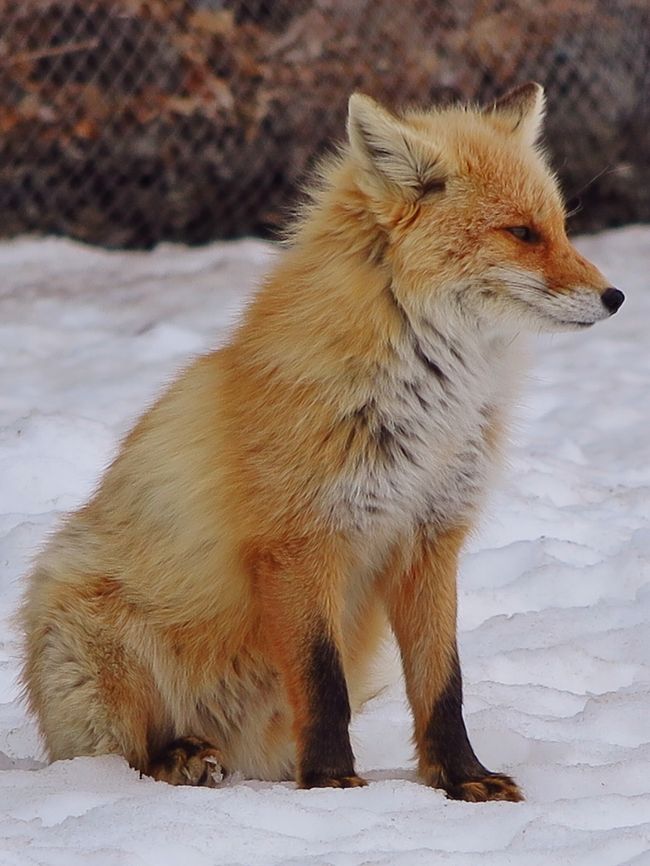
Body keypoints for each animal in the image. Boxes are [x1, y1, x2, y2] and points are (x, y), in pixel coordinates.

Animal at [20, 84, 624, 800]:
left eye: (560, 227)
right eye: (521, 233)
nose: (617, 297)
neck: (429, 411)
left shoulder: (431, 538)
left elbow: (443, 685)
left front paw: (461, 779)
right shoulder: (302, 542)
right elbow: (320, 680)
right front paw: (333, 782)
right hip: (100, 638)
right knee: (123, 756)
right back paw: (179, 757)